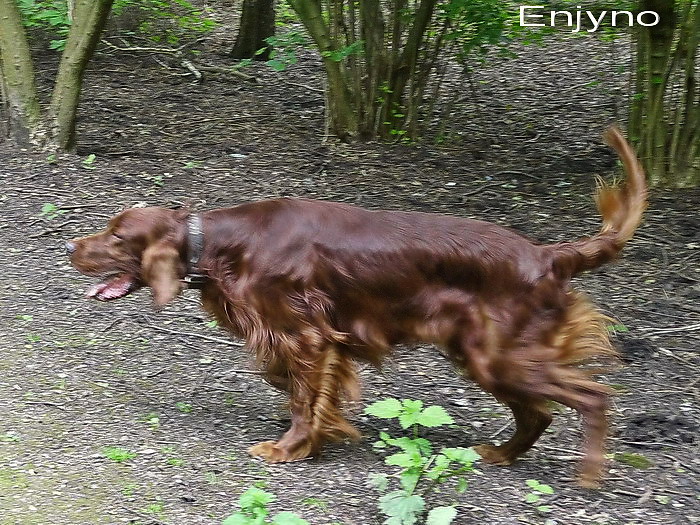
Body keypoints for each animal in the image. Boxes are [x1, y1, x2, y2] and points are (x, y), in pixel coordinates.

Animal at [66, 127, 646, 487]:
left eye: (117, 237)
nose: (70, 247)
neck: (222, 242)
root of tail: (548, 256)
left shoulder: (306, 334)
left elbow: (304, 395)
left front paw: (291, 446)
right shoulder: (308, 337)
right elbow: (296, 383)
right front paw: (324, 428)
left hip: (501, 356)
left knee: (591, 396)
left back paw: (588, 475)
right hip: (482, 355)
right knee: (539, 411)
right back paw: (501, 454)